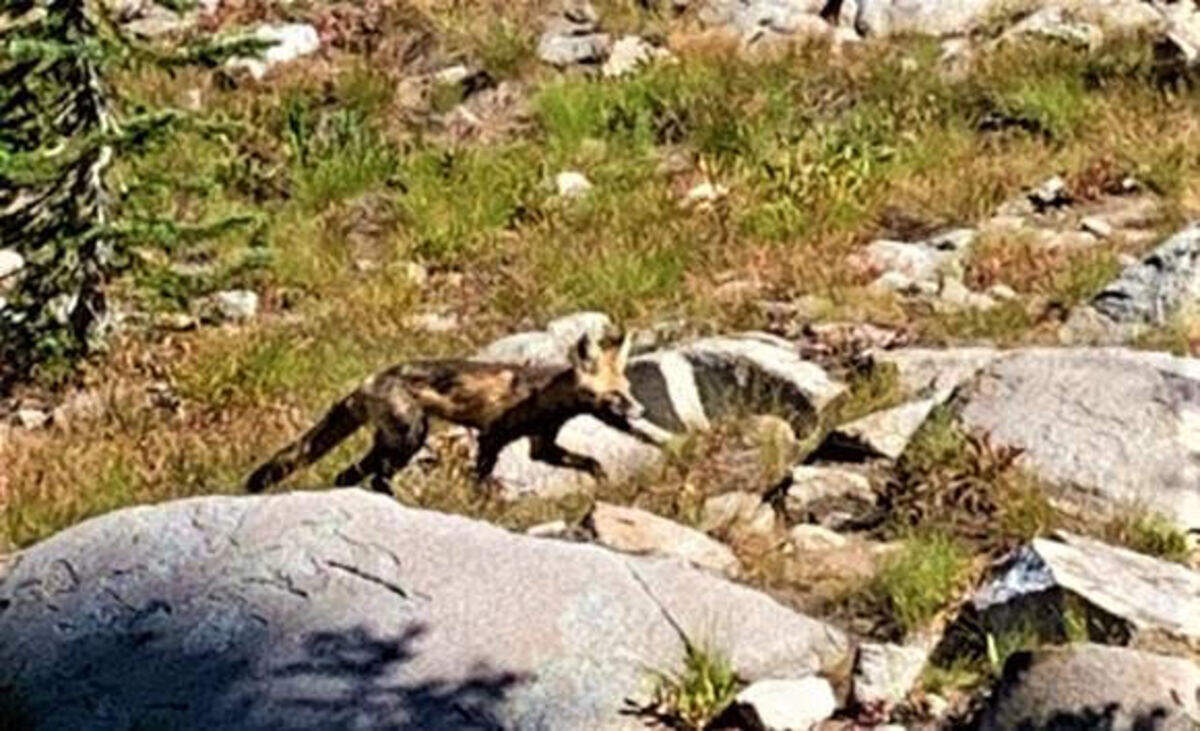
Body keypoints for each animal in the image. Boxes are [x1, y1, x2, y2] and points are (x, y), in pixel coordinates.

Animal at [244, 330, 657, 495]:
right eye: (616, 395)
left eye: (628, 390)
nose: (640, 409)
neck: (543, 398)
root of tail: (369, 381)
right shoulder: (493, 436)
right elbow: (482, 476)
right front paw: (481, 504)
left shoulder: (541, 446)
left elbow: (589, 462)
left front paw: (602, 479)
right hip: (410, 438)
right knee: (373, 476)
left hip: (392, 441)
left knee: (348, 475)